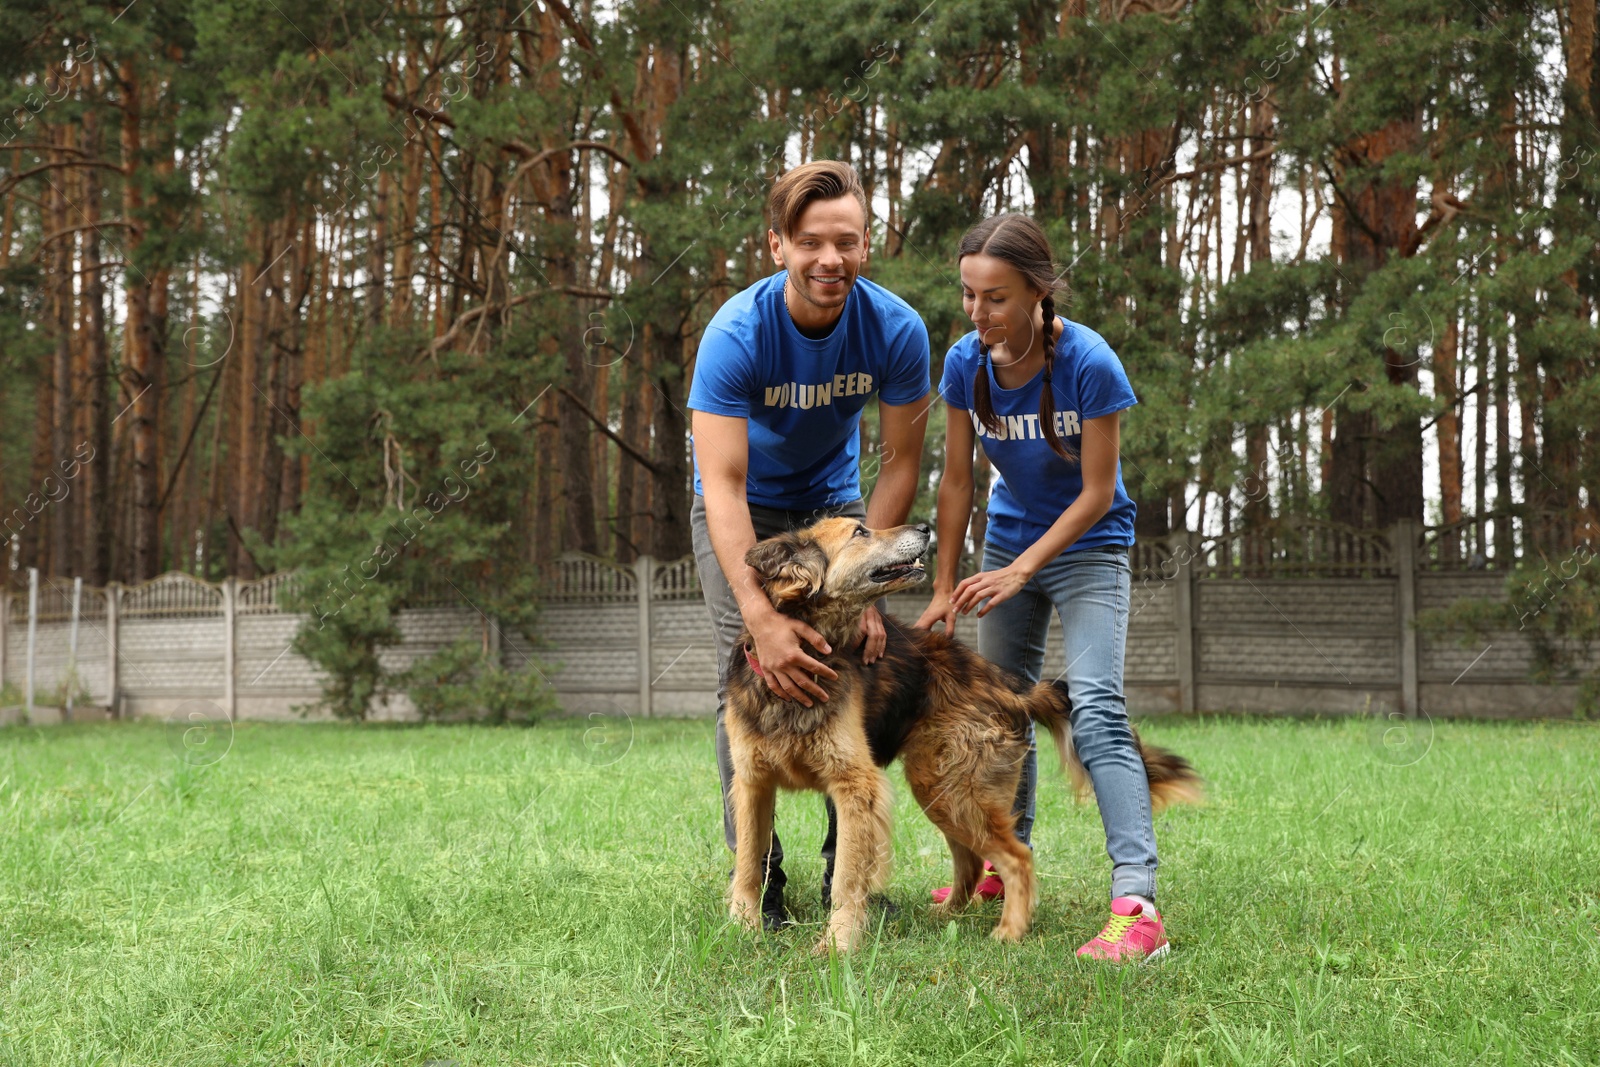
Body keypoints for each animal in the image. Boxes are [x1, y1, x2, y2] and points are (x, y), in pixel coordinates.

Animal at [726, 515, 1203, 953]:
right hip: (941, 787)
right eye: (860, 532)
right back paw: (948, 913)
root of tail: (1008, 685)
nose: (924, 526)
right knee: (972, 860)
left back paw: (1010, 931)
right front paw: (742, 929)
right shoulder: (752, 782)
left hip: (949, 786)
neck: (807, 656)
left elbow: (845, 877)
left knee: (1016, 856)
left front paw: (837, 946)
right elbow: (750, 860)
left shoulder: (855, 787)